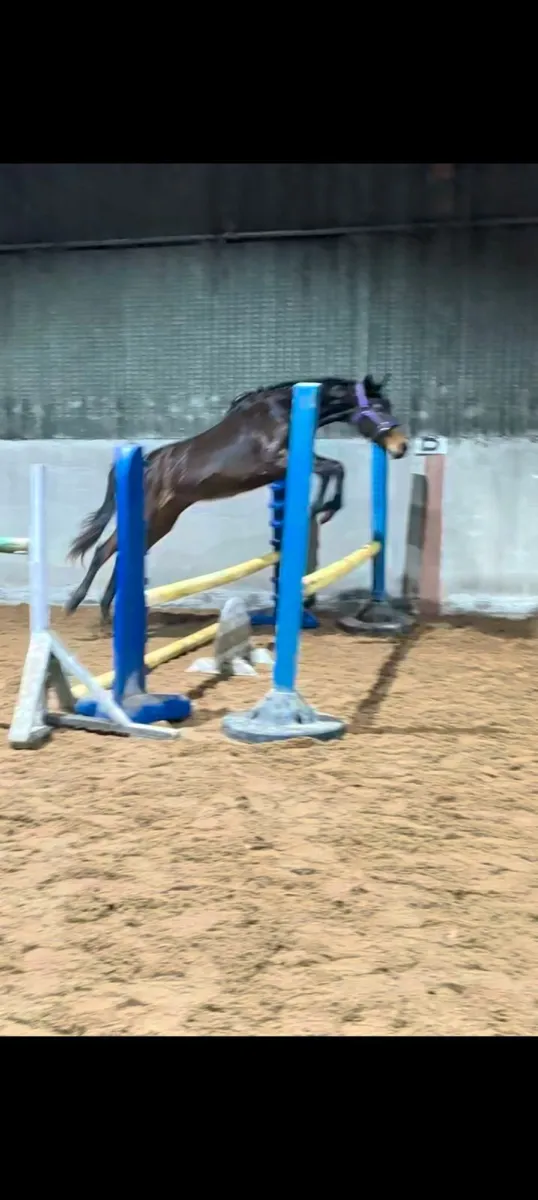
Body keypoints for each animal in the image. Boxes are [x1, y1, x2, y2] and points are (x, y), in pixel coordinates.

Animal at [64, 374, 408, 623]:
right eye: (379, 407)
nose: (401, 447)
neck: (281, 412)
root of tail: (144, 463)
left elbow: (333, 468)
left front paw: (320, 507)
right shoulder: (275, 462)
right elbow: (334, 468)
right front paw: (324, 508)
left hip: (162, 519)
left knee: (122, 552)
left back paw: (107, 613)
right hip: (150, 514)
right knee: (103, 550)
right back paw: (75, 604)